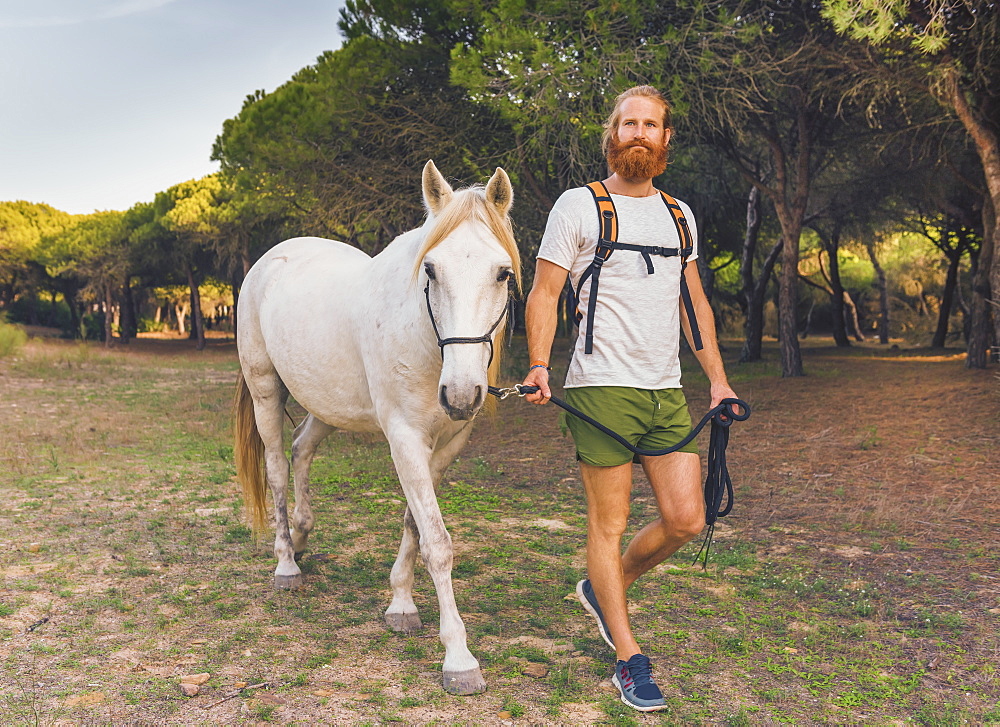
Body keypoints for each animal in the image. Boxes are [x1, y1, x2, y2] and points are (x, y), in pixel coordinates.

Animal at [231, 162, 520, 696]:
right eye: (431, 270)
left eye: (502, 272)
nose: (462, 394)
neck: (423, 337)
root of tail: (269, 260)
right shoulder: (405, 439)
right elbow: (438, 543)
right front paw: (459, 658)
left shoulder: (445, 445)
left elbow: (415, 524)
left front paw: (401, 604)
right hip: (265, 393)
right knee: (278, 468)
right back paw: (286, 563)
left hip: (326, 406)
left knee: (302, 451)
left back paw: (302, 536)